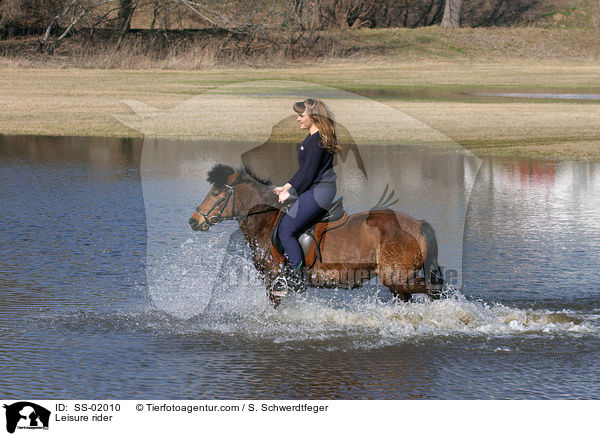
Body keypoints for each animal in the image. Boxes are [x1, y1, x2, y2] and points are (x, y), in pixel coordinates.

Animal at [190, 165, 442, 304]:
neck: (266, 220)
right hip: (398, 284)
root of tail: (418, 224)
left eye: (215, 193)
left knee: (433, 290)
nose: (194, 221)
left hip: (396, 278)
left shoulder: (274, 281)